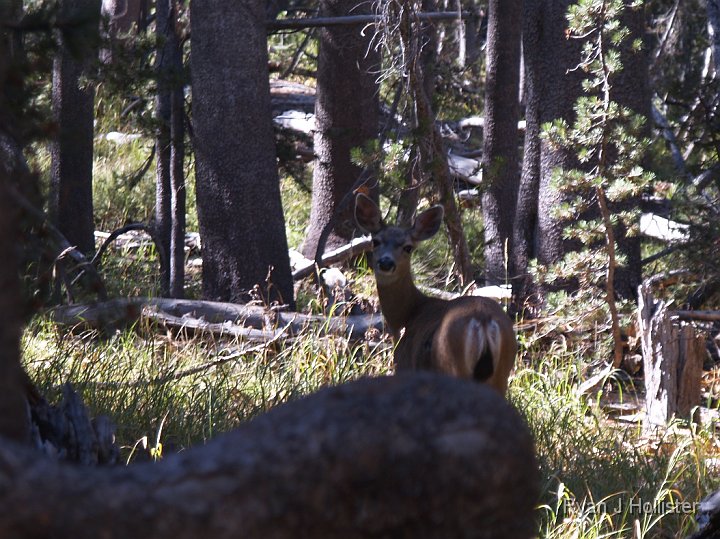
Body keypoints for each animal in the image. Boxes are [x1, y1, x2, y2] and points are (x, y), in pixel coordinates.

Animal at [354, 193, 517, 395]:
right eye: (375, 241)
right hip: (501, 372)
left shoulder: (405, 365)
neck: (407, 315)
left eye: (408, 247)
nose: (386, 263)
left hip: (452, 363)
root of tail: (483, 320)